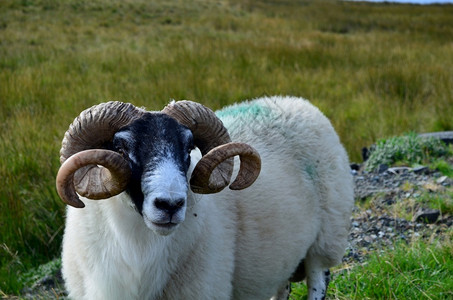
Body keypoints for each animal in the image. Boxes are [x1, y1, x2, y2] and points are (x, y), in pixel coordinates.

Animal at [55, 96, 354, 300]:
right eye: (120, 147)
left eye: (188, 148)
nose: (170, 205)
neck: (138, 246)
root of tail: (299, 103)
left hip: (327, 237)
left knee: (318, 279)